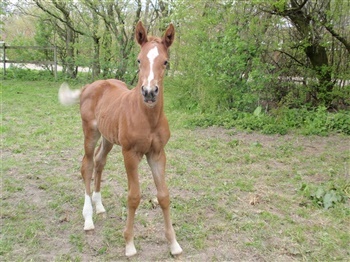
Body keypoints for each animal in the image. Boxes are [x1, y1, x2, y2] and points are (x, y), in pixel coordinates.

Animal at [58, 22, 182, 256]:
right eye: (139, 60)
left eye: (165, 61)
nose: (149, 92)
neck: (148, 118)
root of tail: (90, 86)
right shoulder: (130, 153)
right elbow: (134, 196)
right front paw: (129, 244)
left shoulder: (157, 153)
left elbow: (163, 195)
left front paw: (174, 244)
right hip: (90, 132)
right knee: (87, 165)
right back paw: (88, 218)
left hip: (108, 138)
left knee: (99, 162)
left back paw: (99, 206)